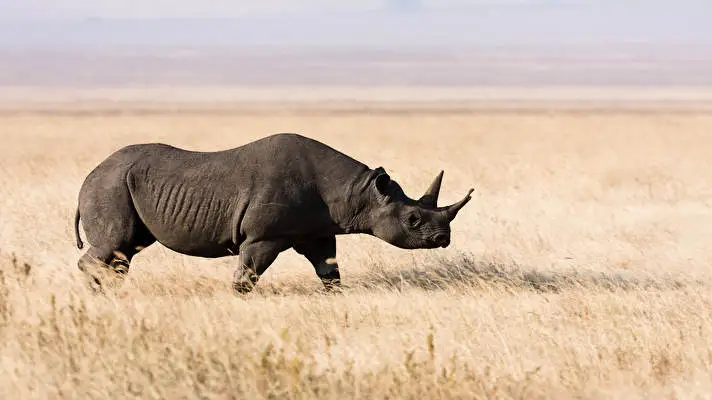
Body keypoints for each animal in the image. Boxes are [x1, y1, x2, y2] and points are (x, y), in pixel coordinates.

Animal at [74, 133, 473, 293]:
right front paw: (237, 298)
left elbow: (329, 270)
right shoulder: (264, 236)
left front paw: (334, 296)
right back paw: (96, 293)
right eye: (413, 220)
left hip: (119, 184)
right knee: (115, 244)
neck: (357, 192)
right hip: (109, 185)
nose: (443, 239)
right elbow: (247, 275)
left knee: (127, 249)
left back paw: (110, 291)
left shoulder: (317, 230)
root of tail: (89, 174)